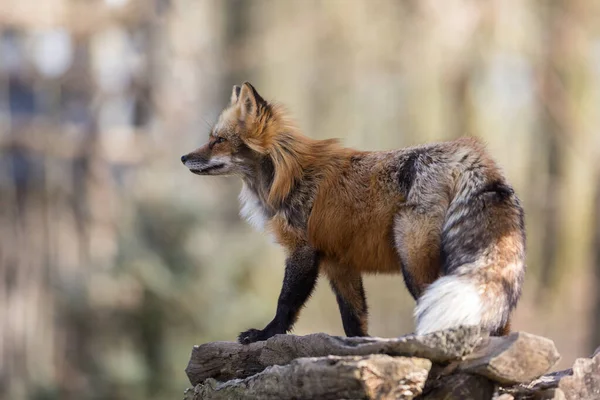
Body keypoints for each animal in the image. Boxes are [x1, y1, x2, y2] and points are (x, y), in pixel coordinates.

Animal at [182, 82, 524, 344]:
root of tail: (468, 152)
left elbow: (286, 303)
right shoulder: (339, 262)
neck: (288, 175)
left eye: (218, 140)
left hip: (413, 261)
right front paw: (358, 345)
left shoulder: (303, 251)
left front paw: (265, 334)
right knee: (499, 320)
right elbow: (353, 319)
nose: (183, 157)